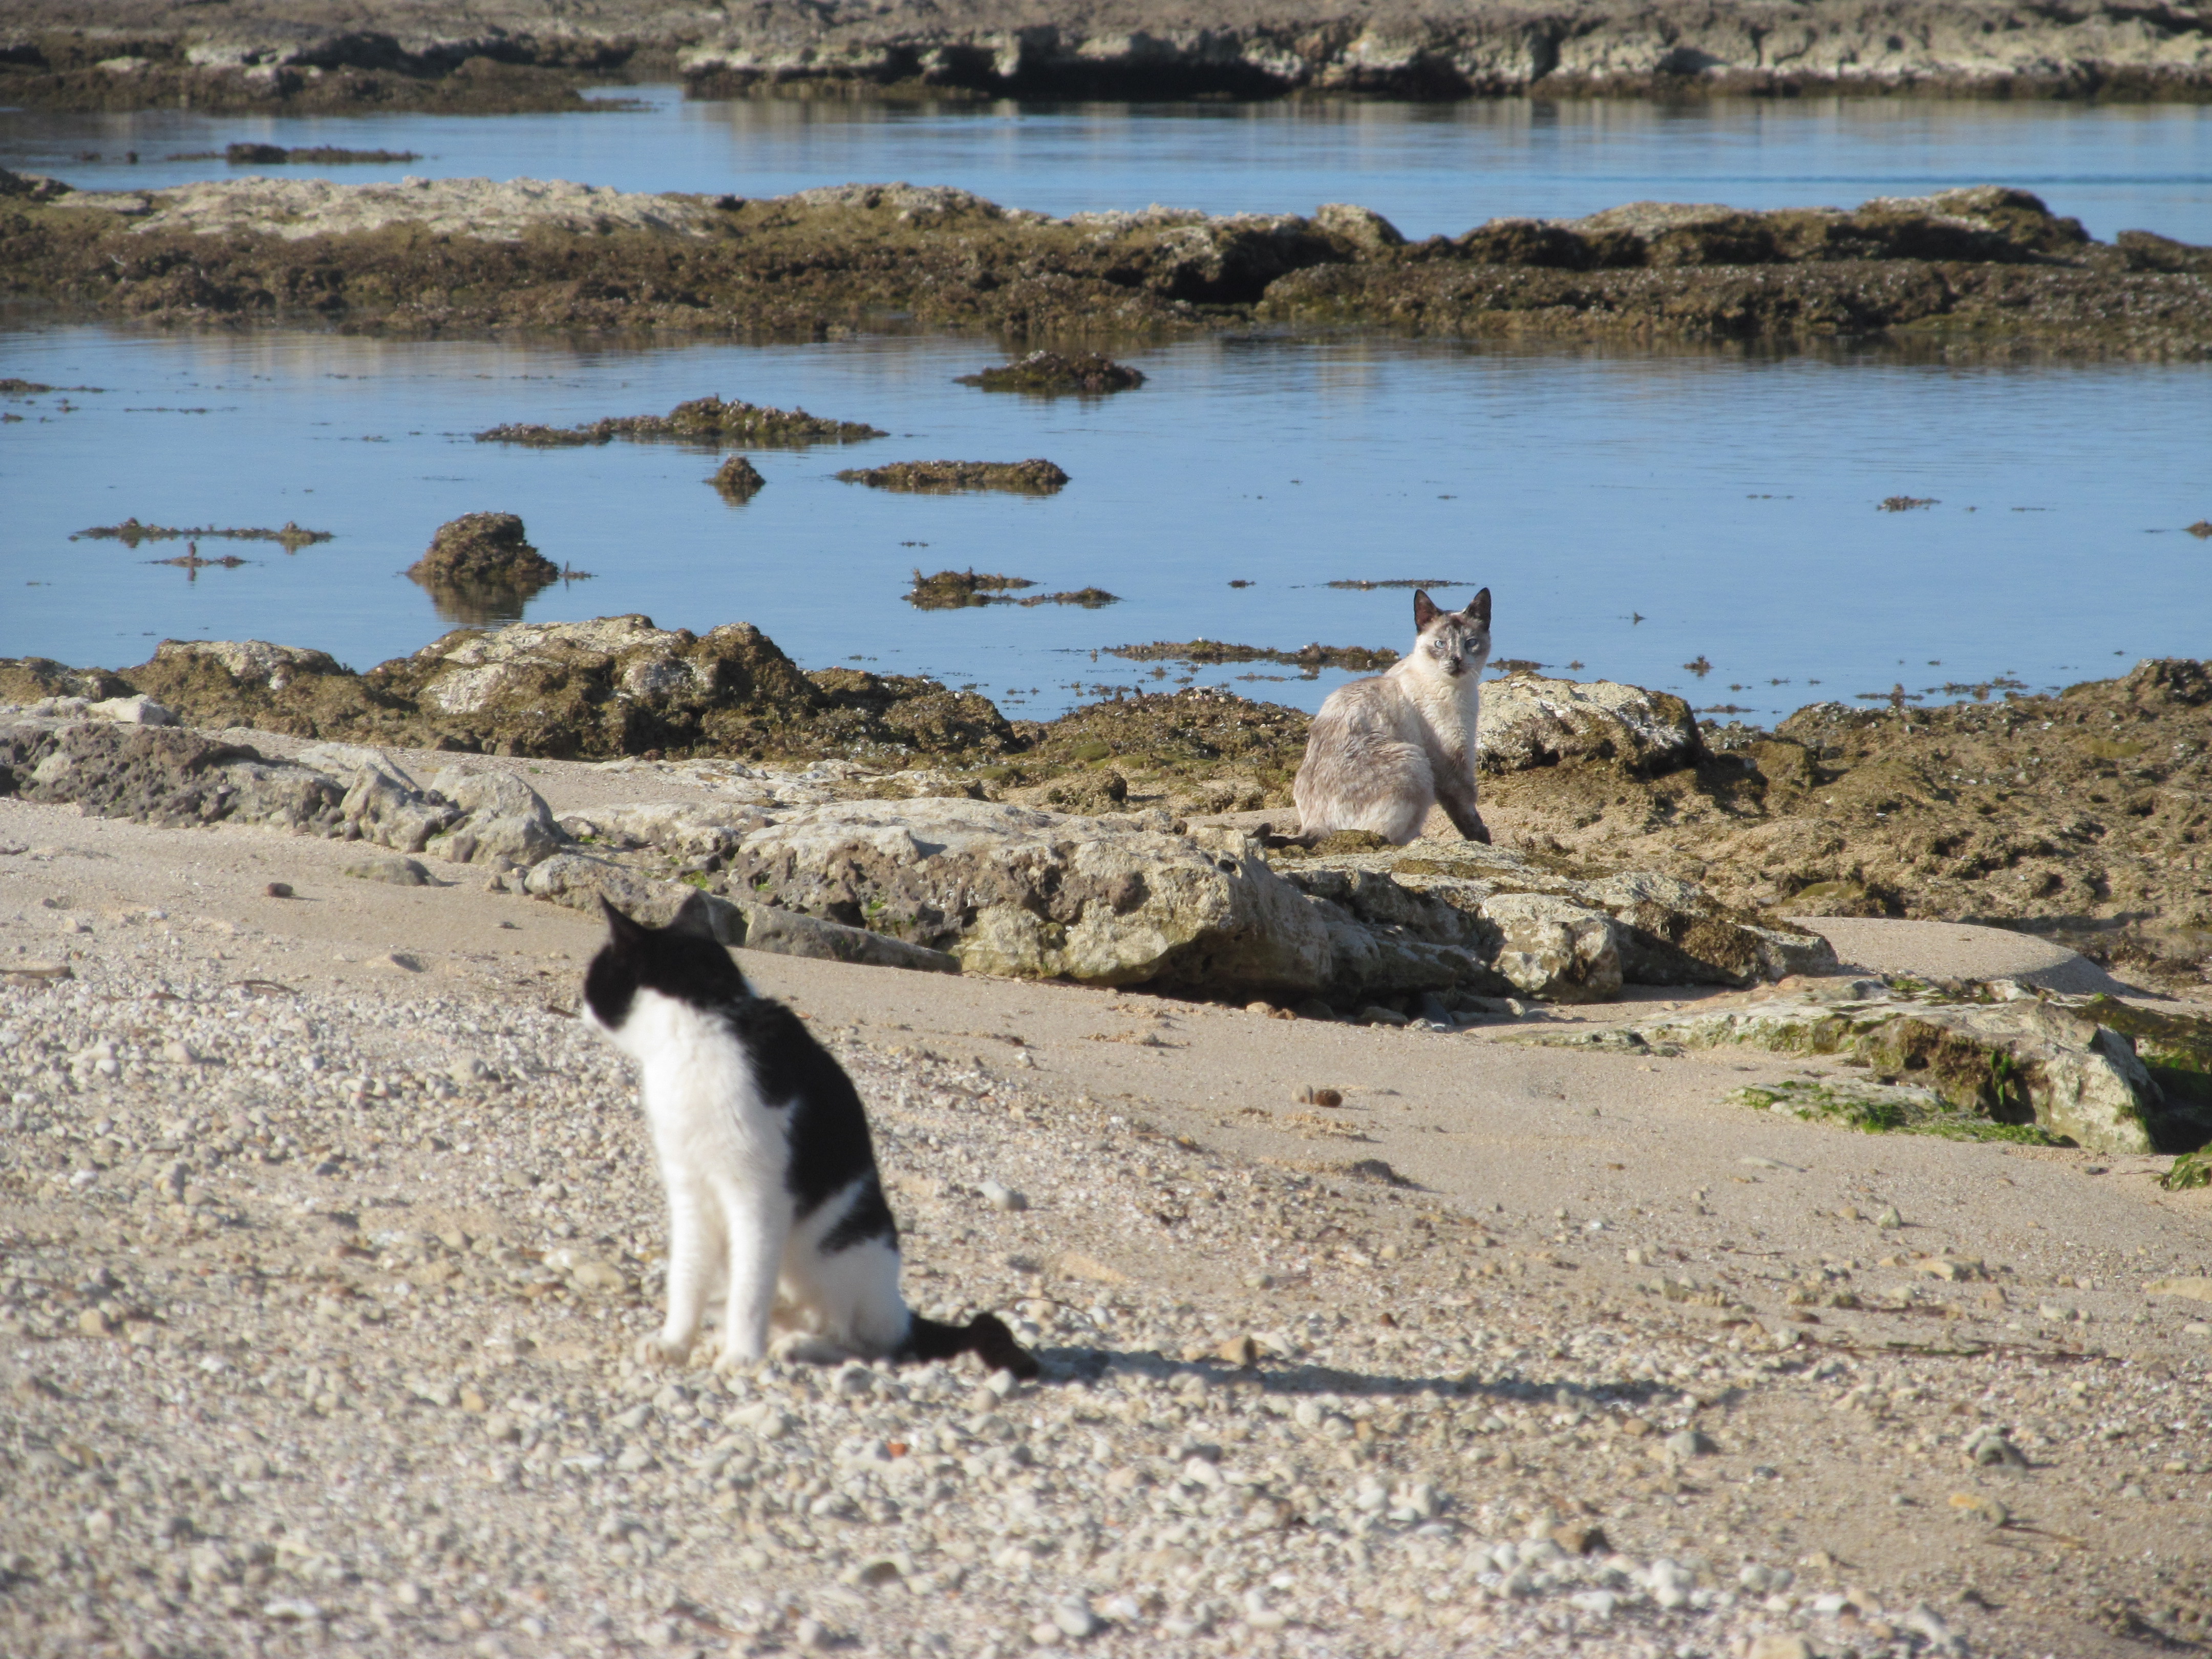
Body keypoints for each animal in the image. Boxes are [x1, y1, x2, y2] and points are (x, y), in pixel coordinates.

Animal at [581, 892, 1038, 1379]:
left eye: (595, 978)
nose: (580, 1005)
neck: (703, 1032)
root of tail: (901, 1313)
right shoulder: (690, 1190)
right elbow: (686, 1277)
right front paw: (675, 1345)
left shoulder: (759, 1198)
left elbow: (750, 1290)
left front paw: (742, 1356)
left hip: (842, 1260)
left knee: (860, 1342)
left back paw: (796, 1347)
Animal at [1292, 587, 1492, 846]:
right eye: (1440, 644)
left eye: (1471, 643)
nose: (1456, 661)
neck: (1459, 689)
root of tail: (1313, 824)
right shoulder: (1452, 759)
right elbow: (1466, 808)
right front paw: (1482, 842)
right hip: (1414, 760)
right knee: (1385, 835)